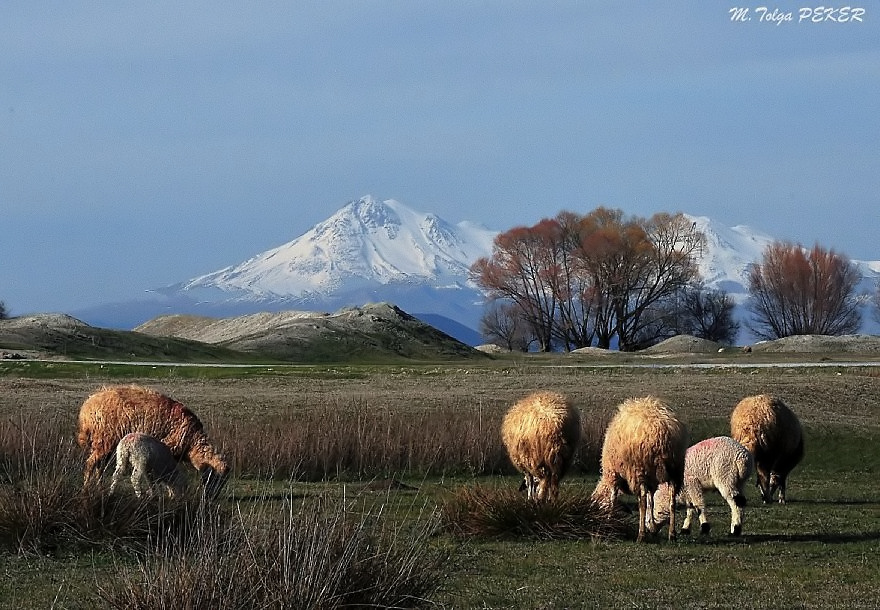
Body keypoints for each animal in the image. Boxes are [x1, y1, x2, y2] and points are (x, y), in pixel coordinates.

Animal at [77, 382, 227, 496]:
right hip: (105, 439)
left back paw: (100, 487)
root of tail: (86, 408)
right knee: (90, 464)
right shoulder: (166, 449)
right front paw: (168, 493)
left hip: (105, 443)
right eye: (216, 479)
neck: (193, 442)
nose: (212, 497)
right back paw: (86, 489)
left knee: (100, 465)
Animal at [592, 394, 688, 540]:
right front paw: (652, 527)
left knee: (642, 501)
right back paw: (672, 534)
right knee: (672, 500)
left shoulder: (614, 474)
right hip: (675, 469)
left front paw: (608, 521)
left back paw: (641, 535)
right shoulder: (651, 479)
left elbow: (614, 498)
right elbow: (651, 500)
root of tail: (663, 430)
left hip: (639, 469)